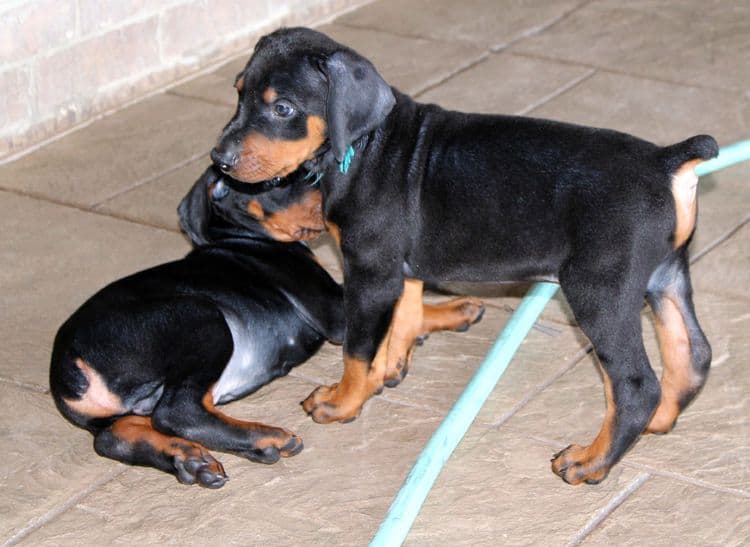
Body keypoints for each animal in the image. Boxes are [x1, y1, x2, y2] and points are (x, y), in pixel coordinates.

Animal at [48, 166, 482, 488]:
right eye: (277, 181)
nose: (337, 203)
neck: (244, 237)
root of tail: (68, 365)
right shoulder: (334, 310)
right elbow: (400, 305)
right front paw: (452, 309)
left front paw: (452, 310)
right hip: (200, 316)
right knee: (177, 411)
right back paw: (263, 438)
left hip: (121, 407)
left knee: (116, 436)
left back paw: (188, 459)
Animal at [214, 27, 720, 486]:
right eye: (238, 94)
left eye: (283, 108)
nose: (219, 159)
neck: (364, 145)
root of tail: (665, 161)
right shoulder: (400, 268)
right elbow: (405, 314)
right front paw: (390, 367)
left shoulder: (369, 270)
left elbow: (357, 348)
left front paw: (344, 401)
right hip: (664, 276)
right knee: (692, 353)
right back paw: (658, 420)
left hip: (600, 290)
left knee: (635, 385)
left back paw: (590, 461)